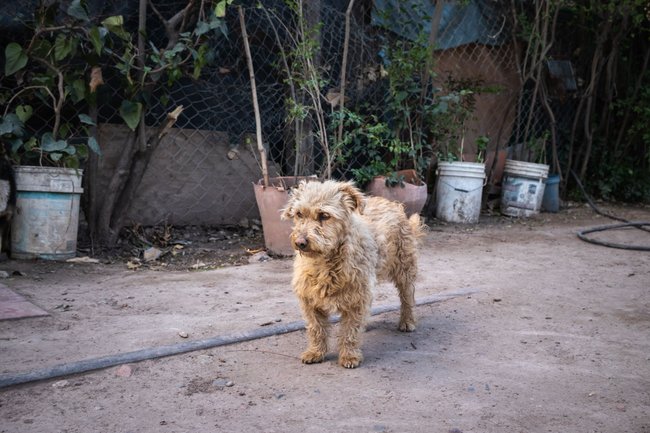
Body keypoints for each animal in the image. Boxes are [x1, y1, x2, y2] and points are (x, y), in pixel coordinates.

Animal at [280, 180, 422, 368]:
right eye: (299, 214)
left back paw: (407, 322)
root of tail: (393, 204)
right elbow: (316, 329)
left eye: (324, 215)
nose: (300, 242)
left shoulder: (357, 297)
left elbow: (350, 331)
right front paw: (315, 352)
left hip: (404, 270)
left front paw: (349, 356)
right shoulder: (309, 300)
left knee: (407, 297)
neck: (325, 263)